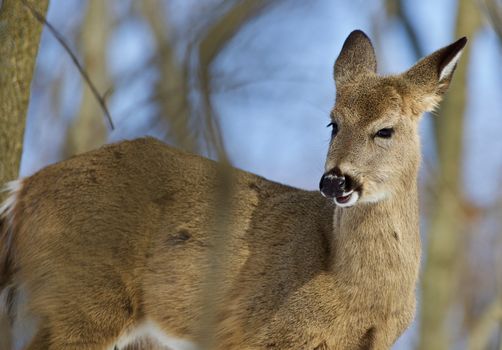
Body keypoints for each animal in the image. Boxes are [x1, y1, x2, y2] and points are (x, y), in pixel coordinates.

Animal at [0, 30, 466, 350]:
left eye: (385, 129)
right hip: (82, 298)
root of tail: (22, 192)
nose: (334, 180)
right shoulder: (265, 332)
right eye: (333, 123)